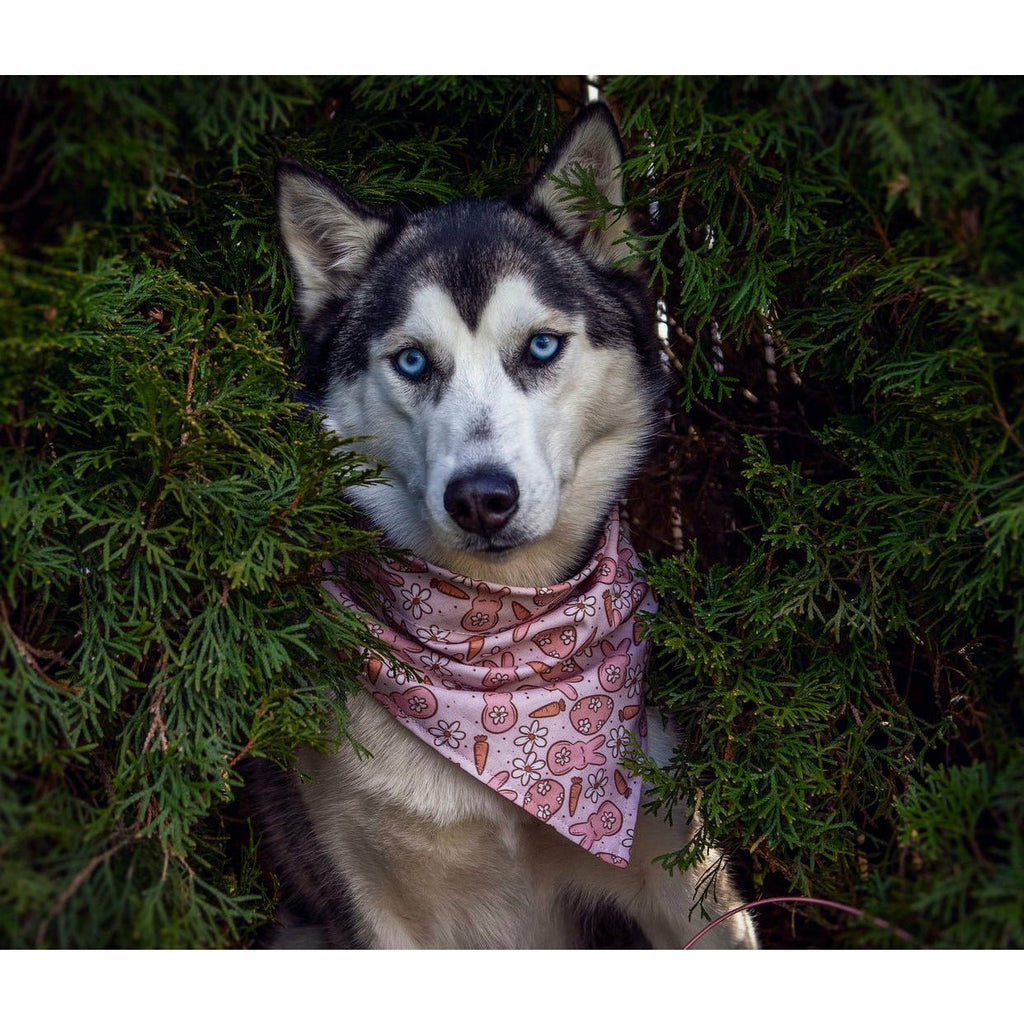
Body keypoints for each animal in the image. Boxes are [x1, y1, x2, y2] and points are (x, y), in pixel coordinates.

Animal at [253, 103, 753, 950]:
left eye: (542, 345)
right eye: (413, 362)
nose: (480, 497)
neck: (502, 644)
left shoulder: (685, 874)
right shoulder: (373, 899)